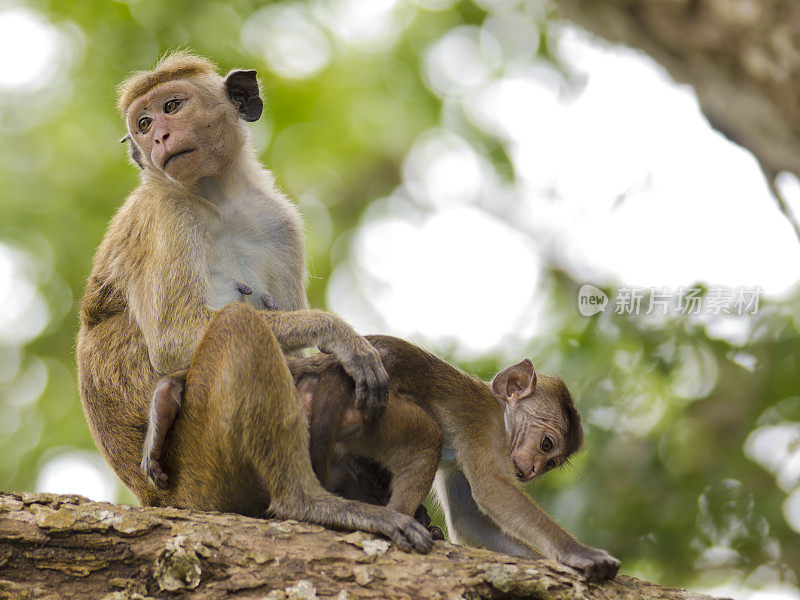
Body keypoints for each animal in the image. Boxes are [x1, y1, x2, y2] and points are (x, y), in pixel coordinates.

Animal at [76, 52, 432, 552]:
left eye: (171, 106)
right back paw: (309, 502)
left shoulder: (281, 223)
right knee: (239, 329)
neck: (216, 197)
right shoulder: (163, 216)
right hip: (200, 473)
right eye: (143, 123)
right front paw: (338, 334)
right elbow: (173, 340)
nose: (159, 136)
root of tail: (152, 499)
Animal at [142, 336, 620, 580]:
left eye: (551, 462)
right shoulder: (485, 427)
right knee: (425, 436)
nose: (533, 470)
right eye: (546, 444)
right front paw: (578, 554)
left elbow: (472, 521)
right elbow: (494, 490)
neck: (499, 410)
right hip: (361, 414)